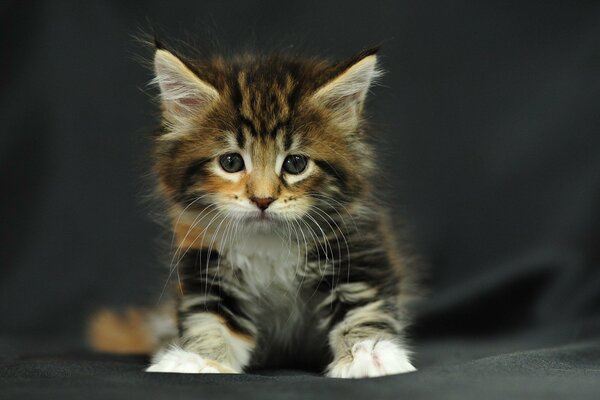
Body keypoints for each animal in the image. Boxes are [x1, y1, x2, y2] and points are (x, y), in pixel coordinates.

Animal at [99, 41, 418, 378]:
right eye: (231, 162)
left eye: (295, 163)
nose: (262, 200)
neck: (268, 244)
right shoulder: (204, 265)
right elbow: (209, 319)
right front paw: (199, 359)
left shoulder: (357, 251)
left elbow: (364, 307)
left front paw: (368, 353)